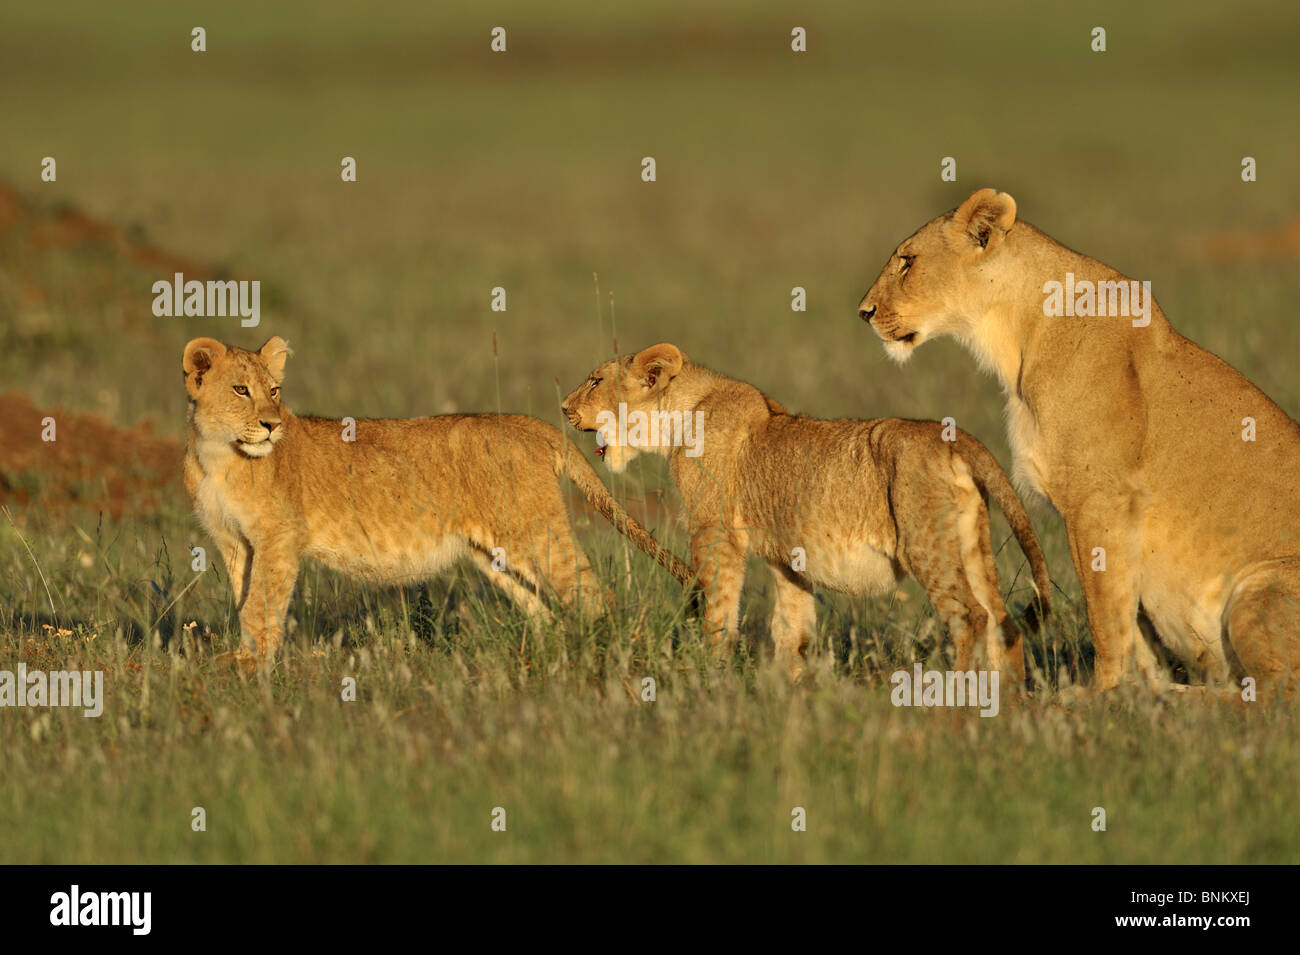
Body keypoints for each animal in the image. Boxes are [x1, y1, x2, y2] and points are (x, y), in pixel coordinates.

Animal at [181, 336, 693, 658]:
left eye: (273, 390)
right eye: (240, 390)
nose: (271, 424)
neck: (219, 456)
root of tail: (535, 424)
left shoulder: (279, 541)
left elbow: (261, 608)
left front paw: (251, 675)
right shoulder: (235, 544)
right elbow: (245, 602)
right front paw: (246, 664)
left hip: (535, 532)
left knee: (593, 593)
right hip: (495, 554)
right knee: (543, 609)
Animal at [561, 343, 1050, 680]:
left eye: (594, 381)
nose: (563, 408)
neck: (683, 414)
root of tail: (953, 437)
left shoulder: (716, 532)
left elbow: (719, 608)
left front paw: (709, 673)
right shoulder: (785, 559)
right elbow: (792, 630)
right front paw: (787, 694)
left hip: (927, 546)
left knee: (971, 617)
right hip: (969, 545)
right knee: (1003, 623)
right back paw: (1007, 712)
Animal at [858, 187, 1300, 696]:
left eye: (907, 262)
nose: (864, 313)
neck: (1013, 336)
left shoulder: (1099, 500)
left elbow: (1104, 610)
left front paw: (1102, 695)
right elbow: (1131, 620)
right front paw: (1138, 689)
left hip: (1260, 585)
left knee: (1272, 697)